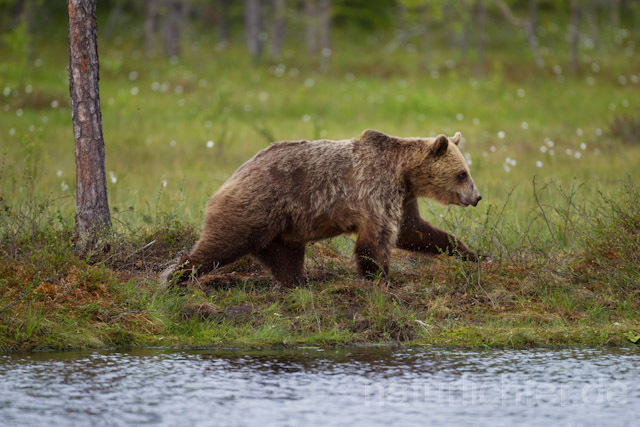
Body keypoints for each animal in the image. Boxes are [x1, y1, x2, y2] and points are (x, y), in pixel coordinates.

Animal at [172, 129, 482, 286]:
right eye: (462, 174)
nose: (477, 196)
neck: (404, 174)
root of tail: (233, 177)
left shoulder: (403, 198)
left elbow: (415, 232)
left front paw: (474, 254)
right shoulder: (375, 191)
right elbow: (376, 241)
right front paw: (381, 277)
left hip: (283, 229)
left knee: (286, 258)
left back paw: (297, 282)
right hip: (255, 207)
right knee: (221, 243)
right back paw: (176, 277)